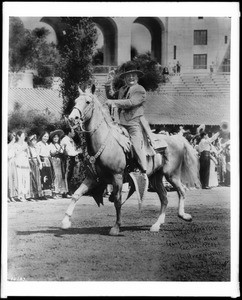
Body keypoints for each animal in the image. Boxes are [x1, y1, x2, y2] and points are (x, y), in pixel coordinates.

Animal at [61, 88, 201, 236]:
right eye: (76, 101)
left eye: (87, 102)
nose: (72, 118)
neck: (105, 141)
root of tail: (177, 139)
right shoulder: (92, 177)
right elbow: (76, 195)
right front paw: (65, 221)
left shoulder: (117, 177)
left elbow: (117, 200)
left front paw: (116, 227)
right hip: (156, 177)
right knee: (164, 198)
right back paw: (157, 224)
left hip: (172, 174)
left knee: (182, 191)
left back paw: (184, 215)